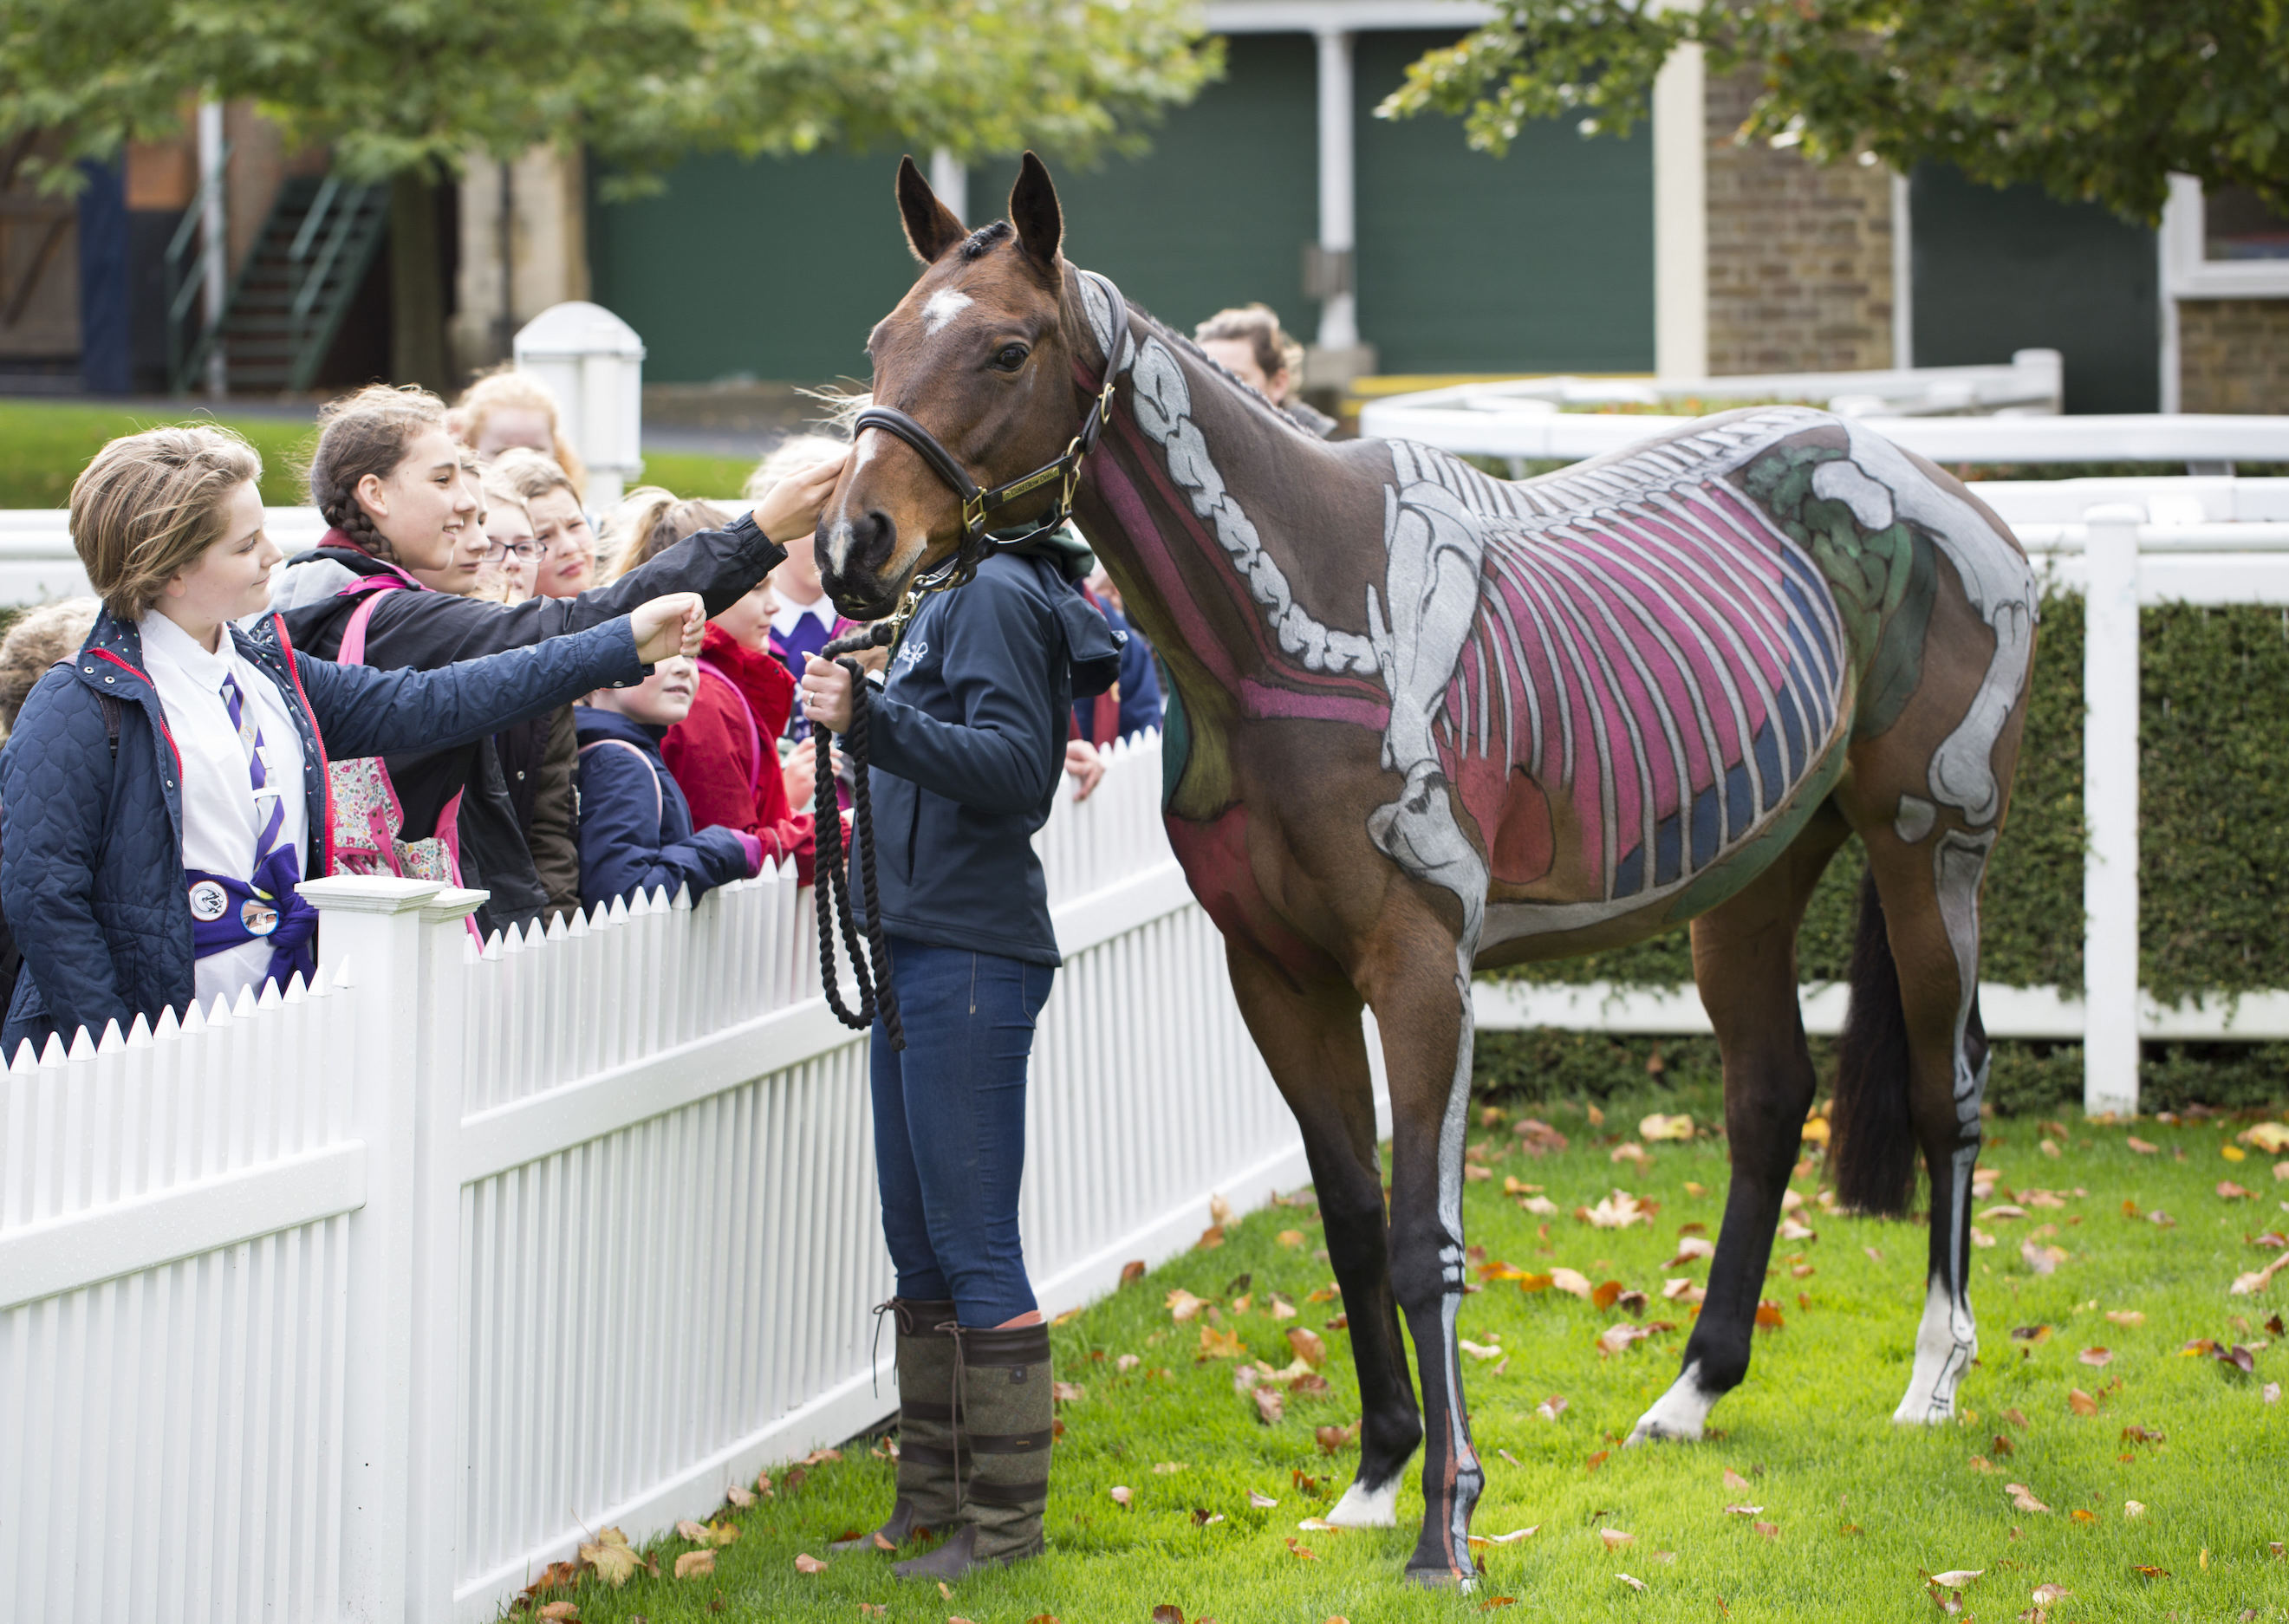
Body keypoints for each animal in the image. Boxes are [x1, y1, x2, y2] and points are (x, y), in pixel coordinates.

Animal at [815, 155, 2032, 1592]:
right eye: (882, 339)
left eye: (1007, 347)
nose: (852, 546)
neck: (1299, 614)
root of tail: (1956, 494)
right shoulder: (1276, 975)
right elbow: (1348, 1219)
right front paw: (1374, 1477)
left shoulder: (1420, 968)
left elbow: (1420, 1236)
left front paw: (1448, 1524)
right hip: (1749, 882)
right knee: (1767, 1097)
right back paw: (1691, 1390)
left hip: (1928, 845)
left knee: (1952, 1088)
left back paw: (1933, 1377)